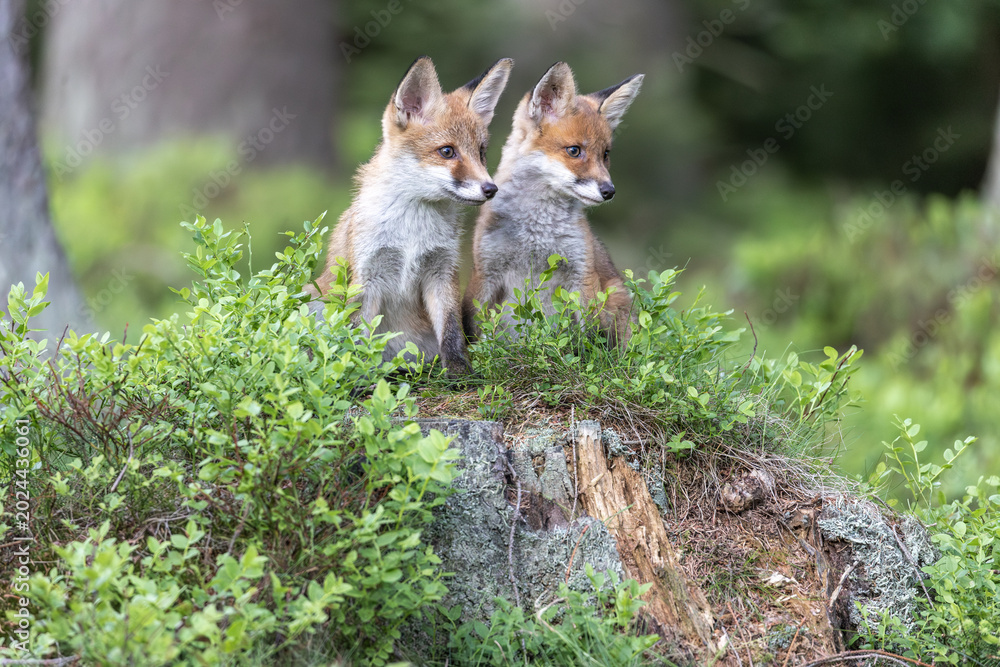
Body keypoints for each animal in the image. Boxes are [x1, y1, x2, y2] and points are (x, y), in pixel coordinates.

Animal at [307, 56, 513, 376]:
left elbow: (452, 330)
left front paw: (459, 371)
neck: (411, 233)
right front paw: (359, 374)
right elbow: (359, 337)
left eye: (481, 153)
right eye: (447, 151)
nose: (491, 189)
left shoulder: (442, 271)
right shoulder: (368, 276)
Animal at [462, 62, 643, 348]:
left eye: (605, 154)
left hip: (616, 296)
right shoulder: (485, 272)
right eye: (574, 151)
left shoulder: (582, 274)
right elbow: (474, 331)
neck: (537, 231)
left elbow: (588, 338)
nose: (609, 191)